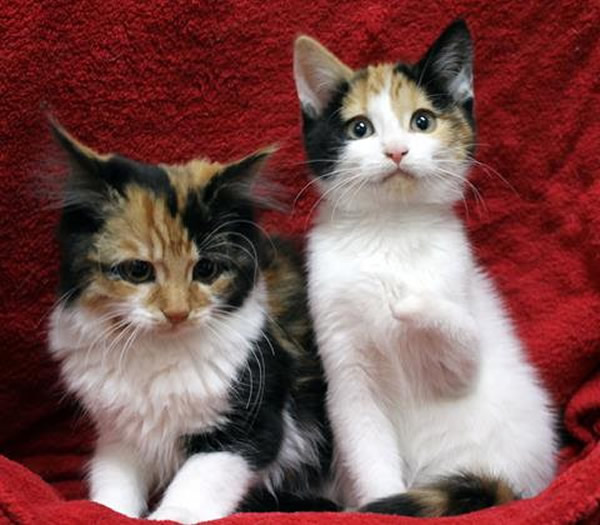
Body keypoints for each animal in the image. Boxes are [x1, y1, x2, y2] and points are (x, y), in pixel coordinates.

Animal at [292, 19, 556, 516]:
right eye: (360, 128)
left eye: (422, 121)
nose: (396, 150)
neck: (392, 230)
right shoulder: (348, 373)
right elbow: (367, 450)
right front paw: (378, 502)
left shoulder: (461, 333)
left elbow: (462, 336)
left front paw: (406, 303)